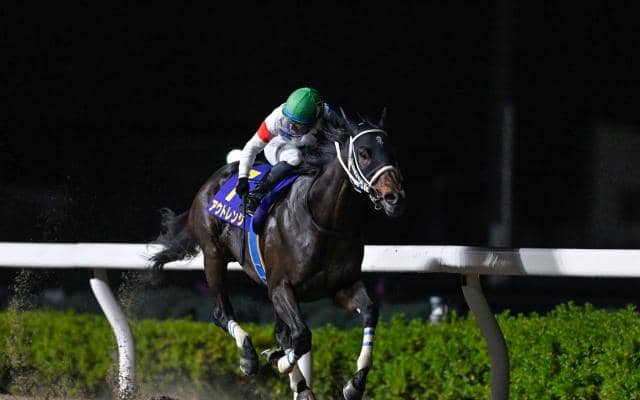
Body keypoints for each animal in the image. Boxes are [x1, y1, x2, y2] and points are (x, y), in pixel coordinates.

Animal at [149, 109, 405, 400]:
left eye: (392, 152)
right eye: (364, 153)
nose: (394, 197)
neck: (324, 220)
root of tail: (213, 181)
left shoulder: (341, 286)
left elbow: (369, 311)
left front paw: (355, 383)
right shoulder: (281, 286)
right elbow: (302, 336)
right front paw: (279, 361)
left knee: (280, 330)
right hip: (213, 255)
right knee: (221, 314)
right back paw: (250, 356)